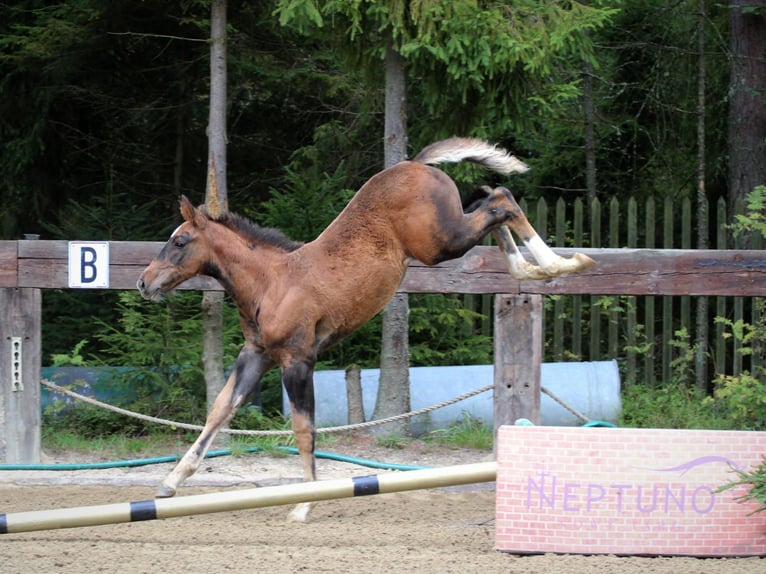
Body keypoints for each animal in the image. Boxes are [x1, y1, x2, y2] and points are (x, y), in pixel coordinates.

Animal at [137, 137, 595, 521]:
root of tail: (417, 163)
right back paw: (534, 269)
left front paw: (303, 505)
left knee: (500, 200)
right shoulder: (257, 355)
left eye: (179, 241)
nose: (144, 282)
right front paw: (169, 484)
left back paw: (563, 262)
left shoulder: (298, 360)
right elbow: (219, 409)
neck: (271, 283)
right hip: (446, 237)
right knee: (492, 202)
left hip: (440, 242)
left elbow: (304, 430)